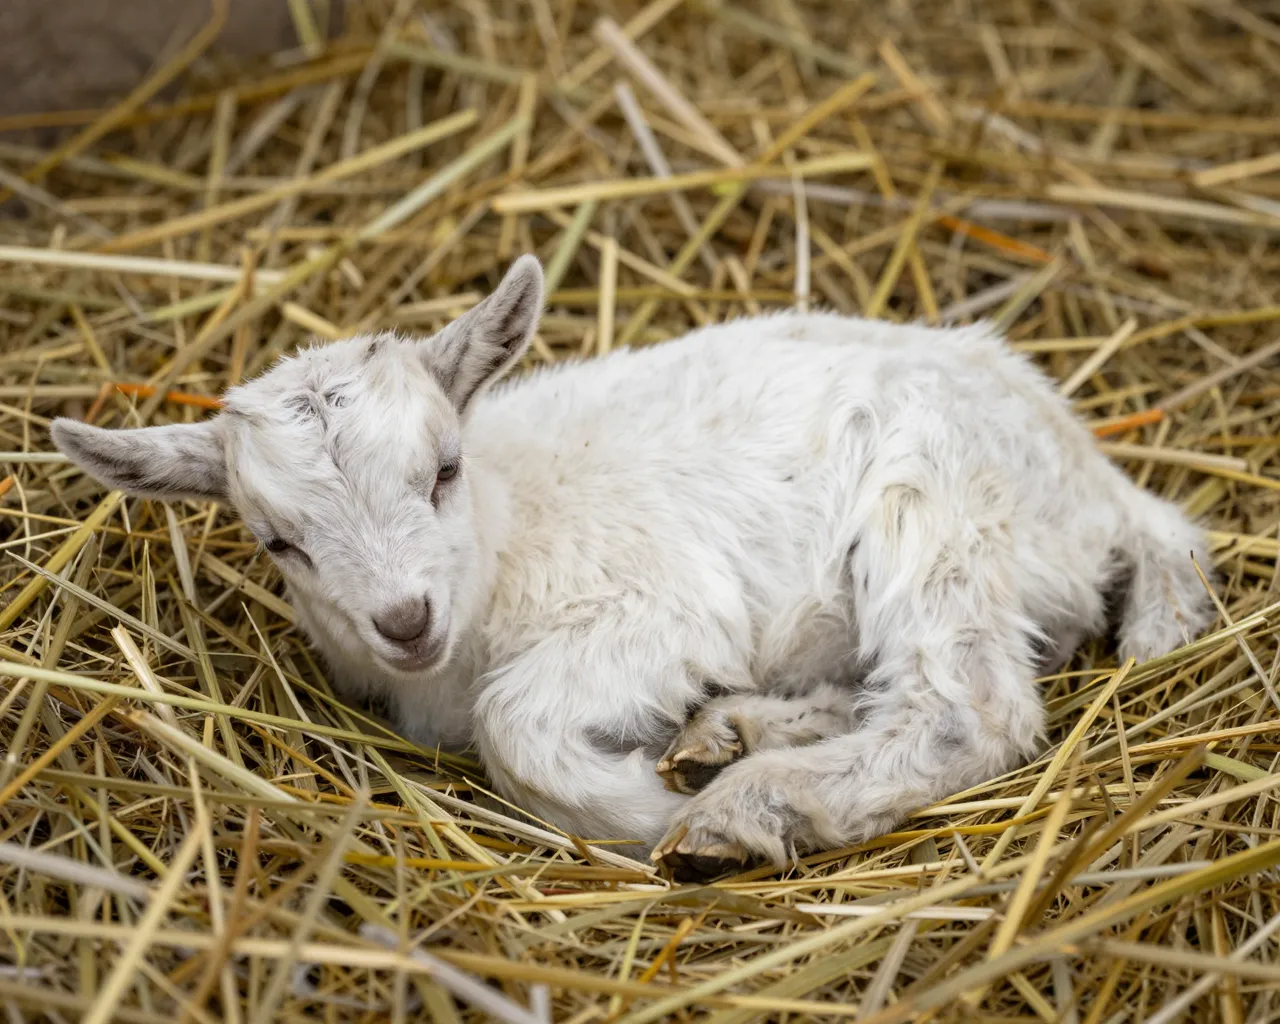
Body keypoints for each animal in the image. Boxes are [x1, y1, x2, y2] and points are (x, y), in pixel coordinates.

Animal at [53, 255, 1214, 877]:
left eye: (442, 470)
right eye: (276, 541)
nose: (404, 619)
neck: (505, 536)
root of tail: (1095, 484)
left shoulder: (659, 608)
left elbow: (515, 725)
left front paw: (639, 816)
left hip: (935, 507)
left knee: (964, 706)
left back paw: (746, 807)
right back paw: (734, 737)